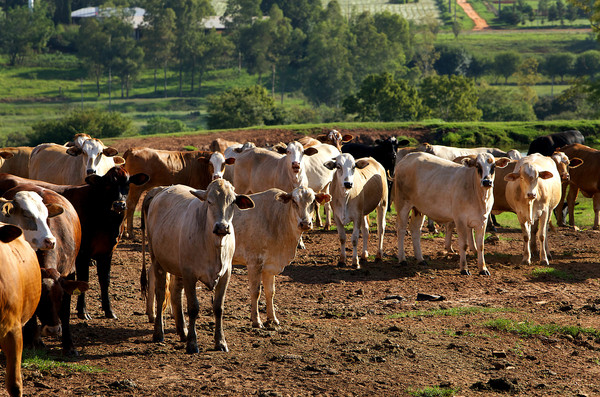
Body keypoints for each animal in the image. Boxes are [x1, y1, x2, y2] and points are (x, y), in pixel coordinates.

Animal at [0, 166, 149, 318]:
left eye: (127, 184)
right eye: (107, 184)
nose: (119, 204)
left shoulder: (107, 251)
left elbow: (105, 280)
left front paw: (109, 310)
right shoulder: (83, 253)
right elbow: (84, 279)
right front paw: (82, 310)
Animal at [144, 180, 254, 352]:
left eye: (232, 202)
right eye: (209, 201)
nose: (222, 227)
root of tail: (161, 190)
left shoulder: (226, 274)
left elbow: (218, 307)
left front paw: (220, 342)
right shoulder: (190, 274)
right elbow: (193, 308)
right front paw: (192, 343)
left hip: (178, 267)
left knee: (176, 293)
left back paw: (182, 331)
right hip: (158, 261)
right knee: (161, 294)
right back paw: (159, 333)